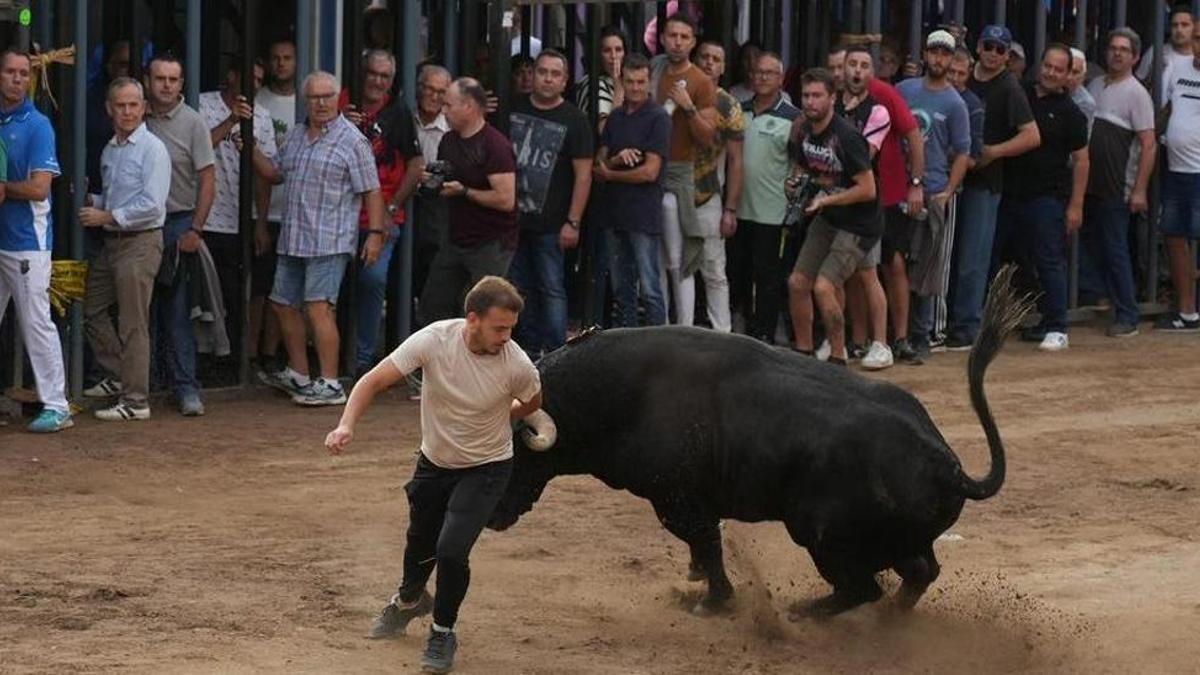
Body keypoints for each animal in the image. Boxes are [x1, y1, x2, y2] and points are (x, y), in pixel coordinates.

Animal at [487, 267, 1032, 614]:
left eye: (512, 459)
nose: (490, 519)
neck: (618, 392)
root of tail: (948, 466)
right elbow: (702, 549)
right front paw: (698, 583)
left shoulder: (678, 500)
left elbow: (707, 544)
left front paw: (713, 601)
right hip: (894, 541)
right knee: (920, 574)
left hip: (822, 535)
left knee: (864, 590)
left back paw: (804, 614)